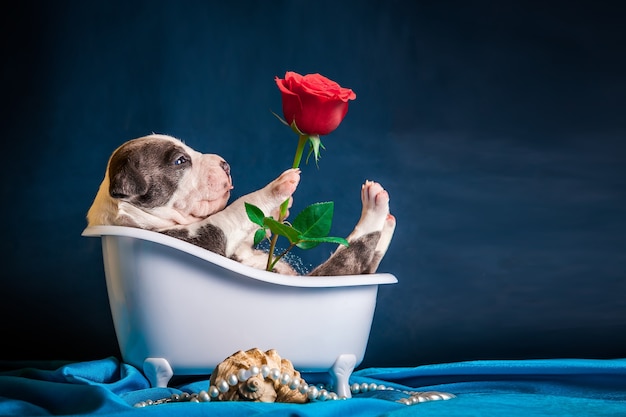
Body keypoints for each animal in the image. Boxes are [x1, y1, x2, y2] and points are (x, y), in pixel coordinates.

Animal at [86, 135, 394, 274]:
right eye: (179, 161)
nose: (226, 164)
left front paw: (280, 211)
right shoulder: (207, 237)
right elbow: (237, 207)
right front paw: (278, 187)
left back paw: (387, 220)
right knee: (353, 254)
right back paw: (375, 203)